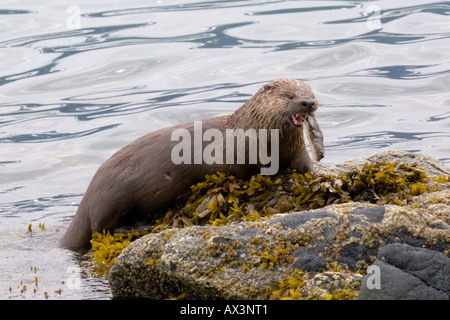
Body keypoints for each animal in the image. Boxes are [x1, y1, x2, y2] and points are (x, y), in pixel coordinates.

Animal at [59, 79, 324, 249]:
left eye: (311, 91)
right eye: (289, 96)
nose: (308, 102)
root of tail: (87, 198)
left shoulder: (296, 150)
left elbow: (305, 165)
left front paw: (317, 174)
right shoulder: (235, 158)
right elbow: (246, 174)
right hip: (112, 197)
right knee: (102, 228)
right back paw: (141, 227)